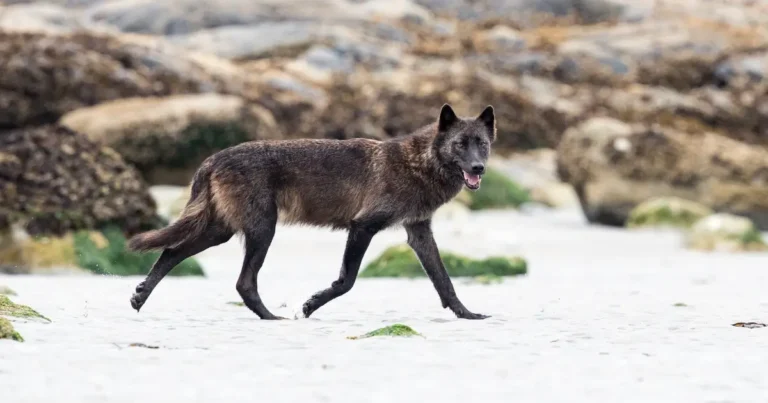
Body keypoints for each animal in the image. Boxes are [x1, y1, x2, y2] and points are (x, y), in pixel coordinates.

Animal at [127, 103, 497, 320]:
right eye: (460, 144)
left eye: (482, 143)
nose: (478, 169)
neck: (419, 164)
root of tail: (214, 158)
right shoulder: (362, 226)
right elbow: (346, 281)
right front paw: (309, 306)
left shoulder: (418, 233)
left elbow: (444, 280)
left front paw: (467, 315)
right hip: (262, 230)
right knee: (243, 282)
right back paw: (270, 318)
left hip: (221, 231)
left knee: (172, 252)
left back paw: (140, 297)